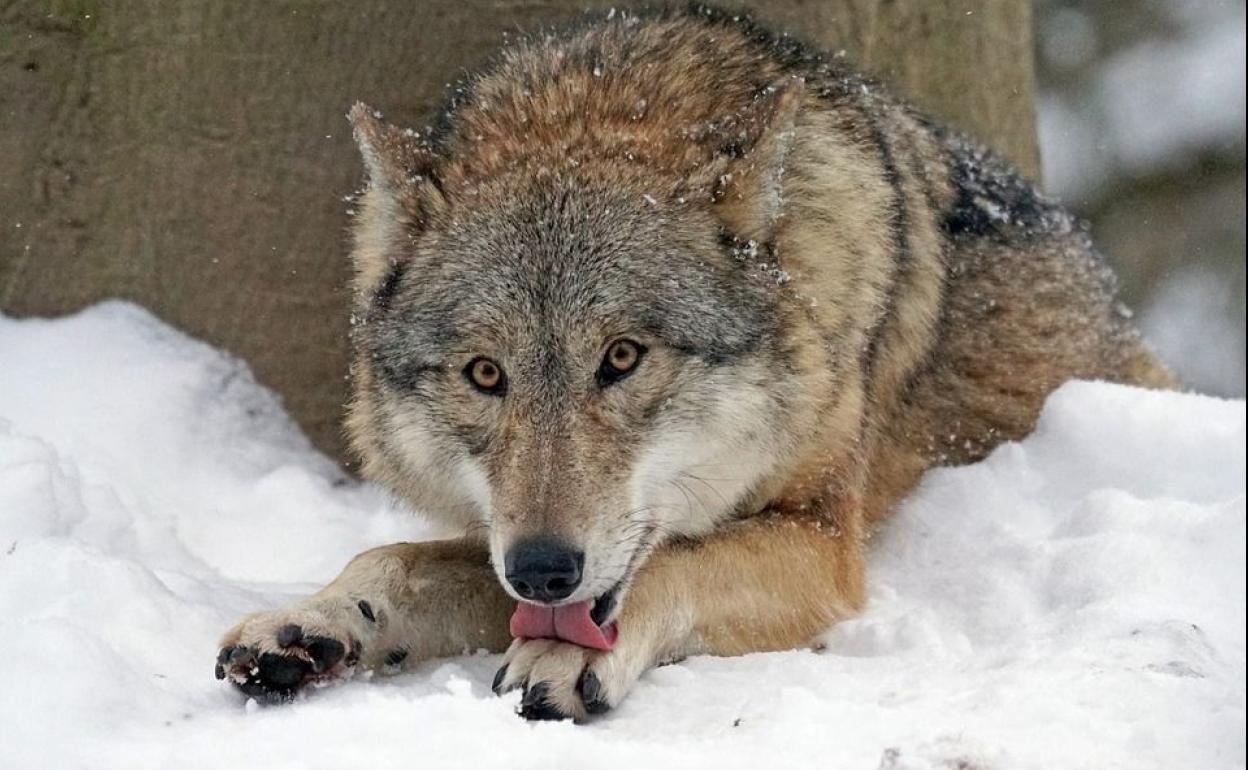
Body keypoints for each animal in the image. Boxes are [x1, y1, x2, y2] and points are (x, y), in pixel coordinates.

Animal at [212, 4, 1168, 718]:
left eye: (623, 358)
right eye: (486, 374)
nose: (544, 568)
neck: (596, 105)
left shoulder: (825, 542)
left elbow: (677, 562)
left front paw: (562, 660)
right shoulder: (505, 548)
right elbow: (392, 560)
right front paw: (308, 624)